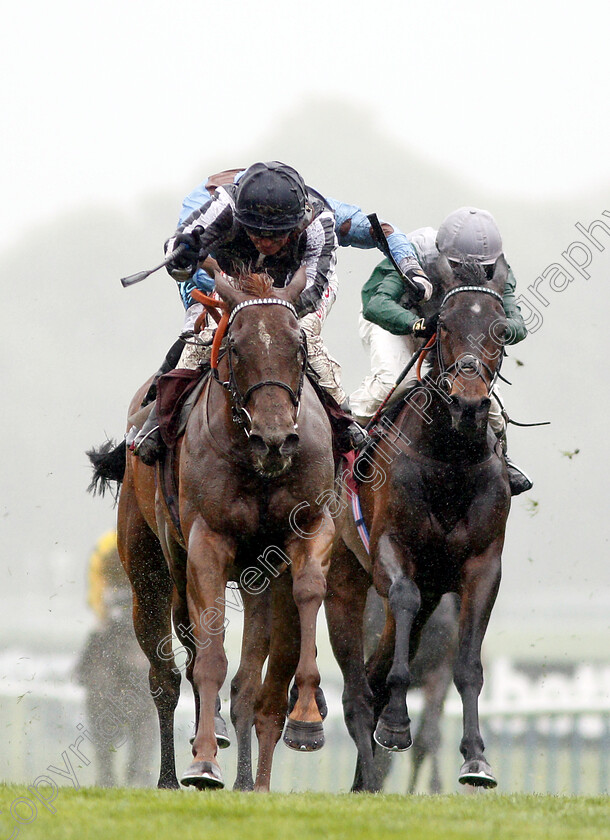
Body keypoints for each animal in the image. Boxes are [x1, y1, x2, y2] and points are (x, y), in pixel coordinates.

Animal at [88, 270, 334, 788]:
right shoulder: (208, 542)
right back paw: (171, 772)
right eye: (235, 347)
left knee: (245, 681)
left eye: (299, 346)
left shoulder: (306, 529)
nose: (275, 438)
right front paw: (202, 760)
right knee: (166, 673)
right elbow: (209, 656)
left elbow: (306, 593)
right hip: (149, 567)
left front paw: (306, 717)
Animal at [326, 254, 510, 788]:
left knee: (373, 673)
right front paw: (394, 725)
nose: (469, 401)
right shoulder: (393, 547)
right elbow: (401, 604)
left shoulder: (482, 566)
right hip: (343, 582)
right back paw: (368, 766)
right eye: (444, 325)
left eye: (501, 327)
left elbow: (466, 666)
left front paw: (476, 758)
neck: (449, 460)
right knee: (358, 684)